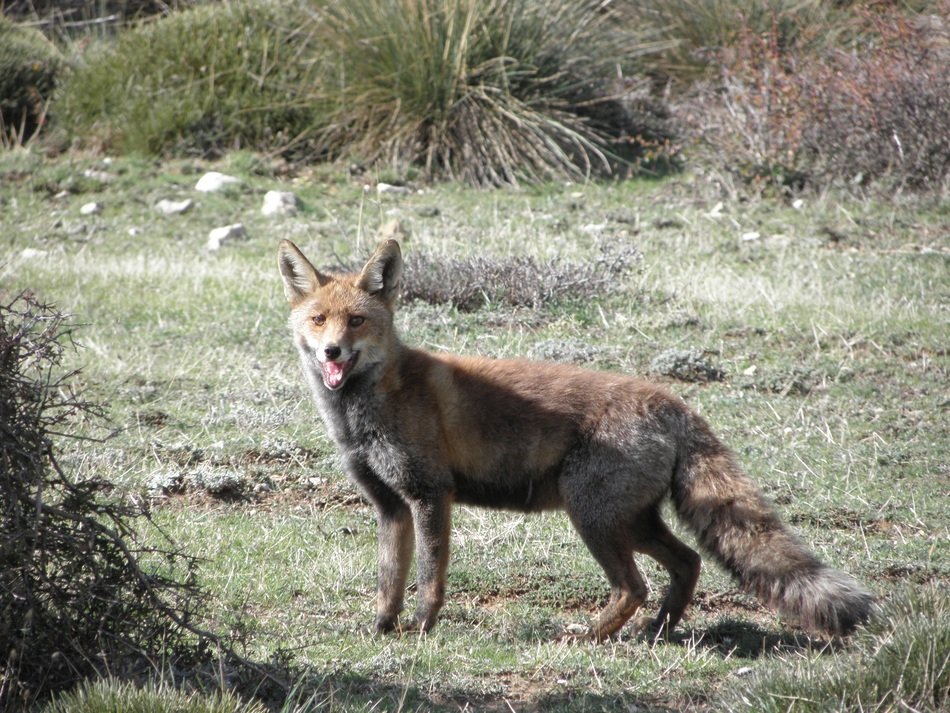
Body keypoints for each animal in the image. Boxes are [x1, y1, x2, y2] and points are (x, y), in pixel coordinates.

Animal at [277, 238, 874, 641]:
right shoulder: (390, 506)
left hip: (592, 516)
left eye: (357, 321)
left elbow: (428, 579)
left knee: (636, 585)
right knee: (687, 563)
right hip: (629, 520)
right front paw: (382, 630)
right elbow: (389, 580)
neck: (364, 412)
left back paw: (591, 637)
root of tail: (671, 401)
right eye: (319, 319)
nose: (331, 353)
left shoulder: (430, 494)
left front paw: (423, 630)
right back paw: (659, 632)